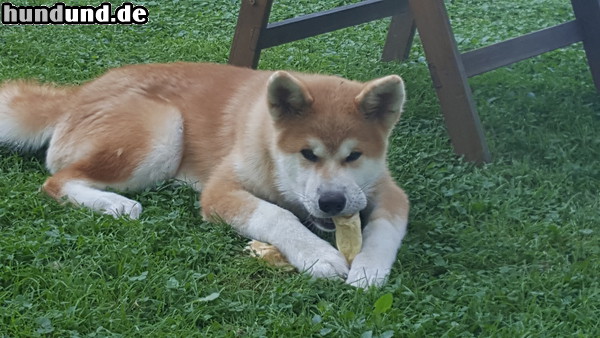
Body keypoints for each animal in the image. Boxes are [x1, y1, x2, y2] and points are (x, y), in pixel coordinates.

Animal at [0, 62, 408, 286]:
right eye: (308, 154)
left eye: (354, 156)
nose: (332, 202)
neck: (268, 145)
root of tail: (79, 93)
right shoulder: (220, 190)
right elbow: (278, 215)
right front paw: (316, 254)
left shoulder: (390, 194)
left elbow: (385, 230)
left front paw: (369, 271)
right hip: (164, 134)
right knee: (57, 181)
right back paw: (116, 205)